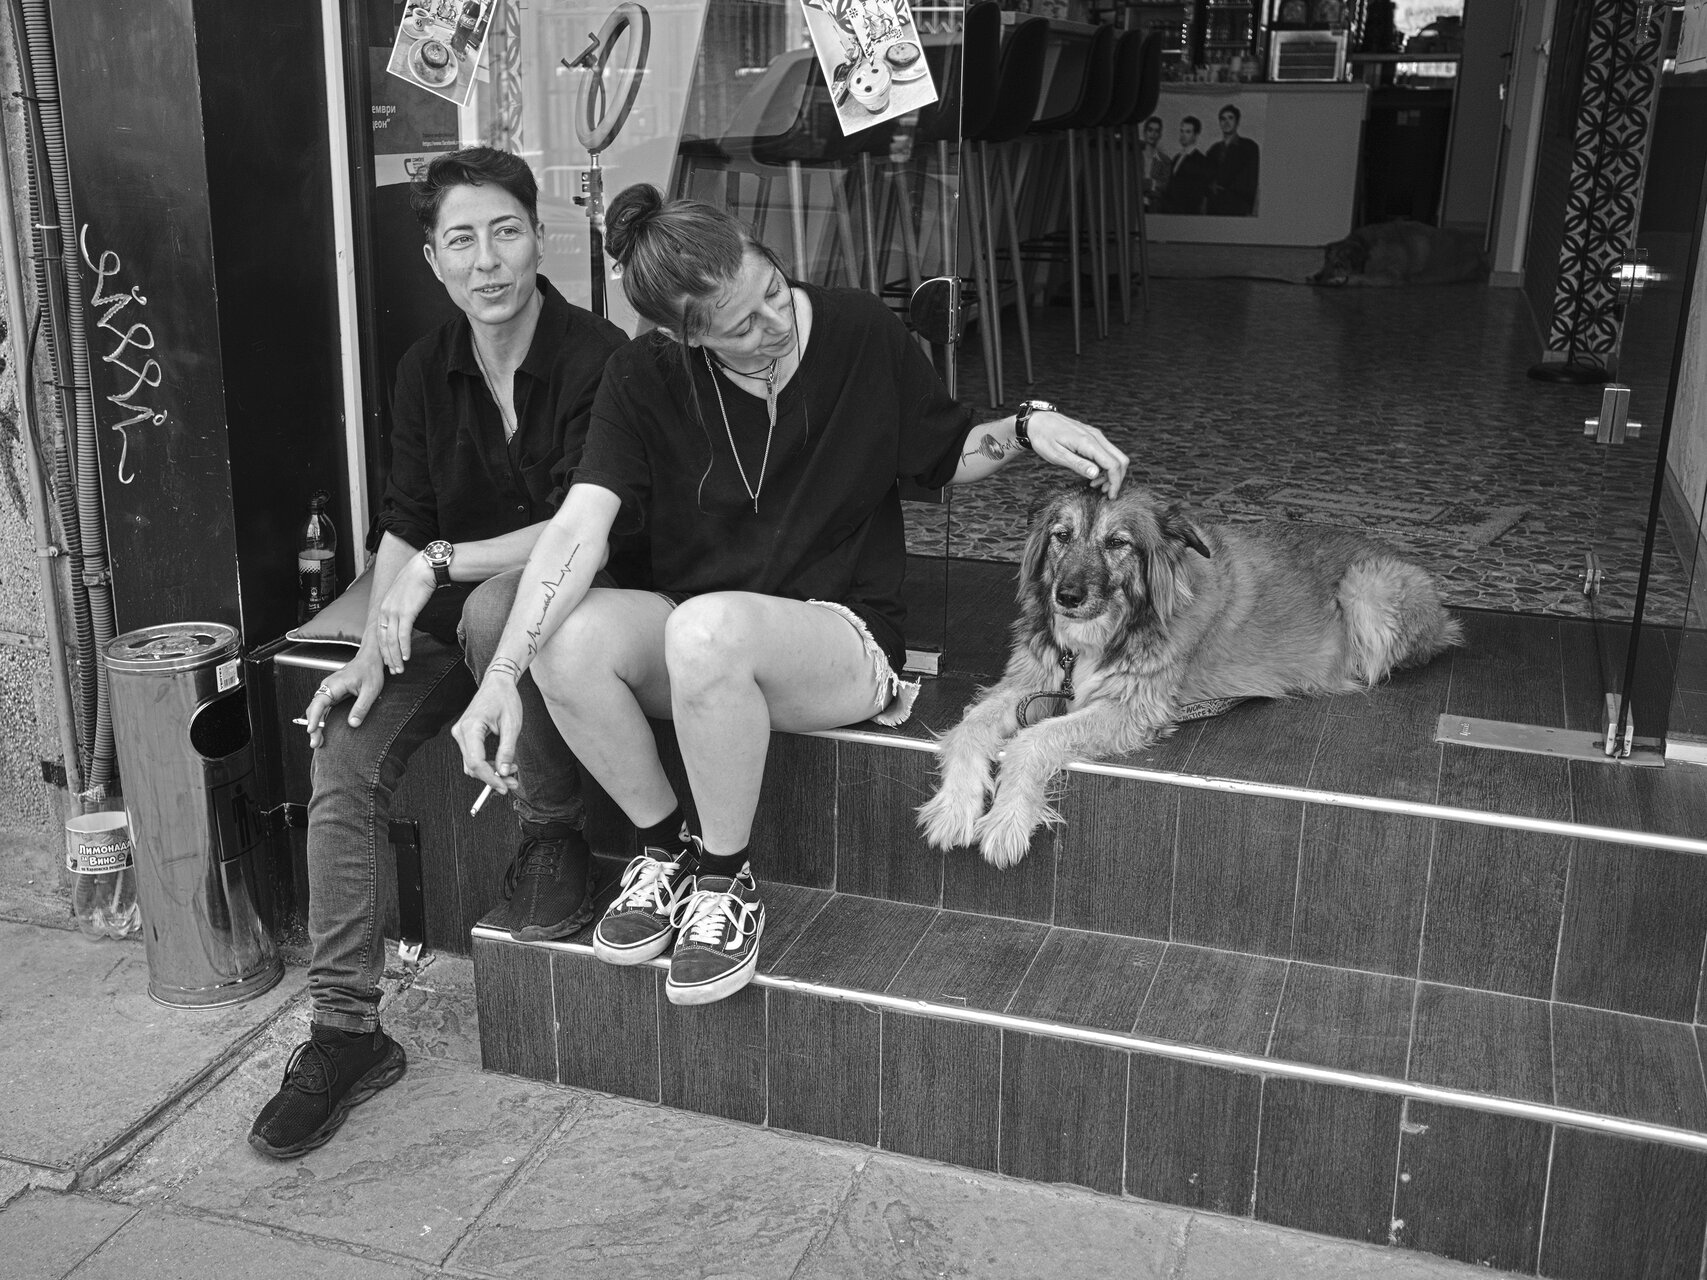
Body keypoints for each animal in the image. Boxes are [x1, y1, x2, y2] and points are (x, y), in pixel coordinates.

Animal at [916, 487, 1463, 868]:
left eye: (1117, 543)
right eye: (1061, 536)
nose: (1066, 597)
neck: (1108, 630)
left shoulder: (1132, 708)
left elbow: (1034, 740)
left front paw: (1006, 822)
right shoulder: (1028, 683)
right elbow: (967, 728)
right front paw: (952, 809)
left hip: (1367, 587)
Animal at [1309, 220, 1489, 287]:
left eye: (1339, 264)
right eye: (1326, 260)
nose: (1317, 277)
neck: (1367, 247)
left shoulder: (1392, 276)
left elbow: (1360, 277)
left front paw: (1339, 279)